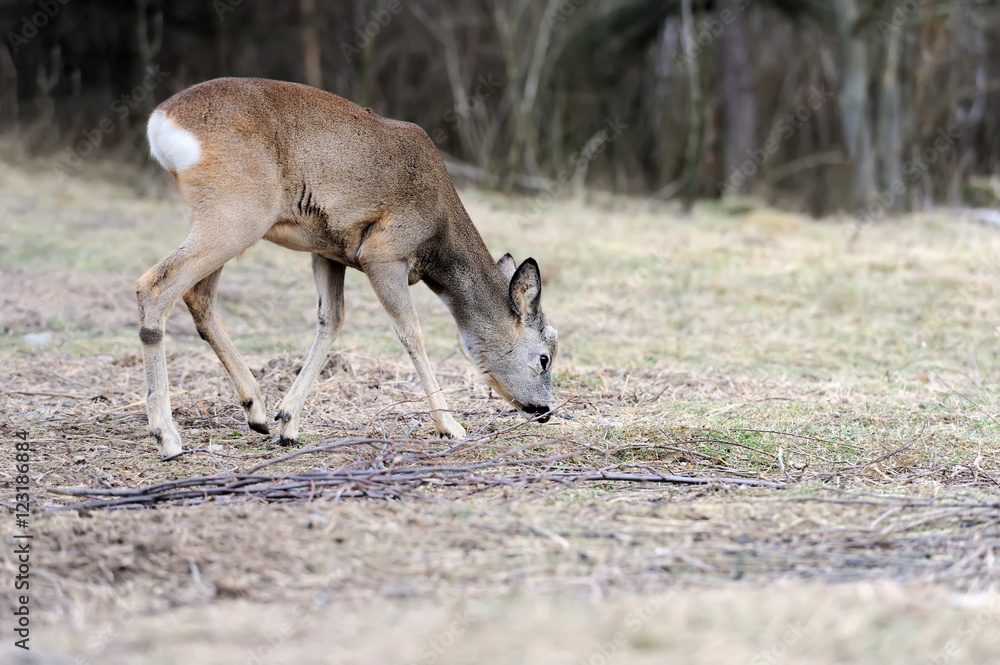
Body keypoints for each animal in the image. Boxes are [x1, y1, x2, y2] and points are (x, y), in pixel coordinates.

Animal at [139, 78, 564, 460]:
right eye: (545, 357)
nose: (544, 410)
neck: (438, 232)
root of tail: (161, 120)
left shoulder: (327, 251)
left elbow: (332, 320)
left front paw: (288, 423)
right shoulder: (384, 254)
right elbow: (412, 333)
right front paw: (451, 427)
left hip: (223, 219)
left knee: (198, 296)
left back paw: (255, 411)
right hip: (238, 214)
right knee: (155, 286)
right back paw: (168, 438)